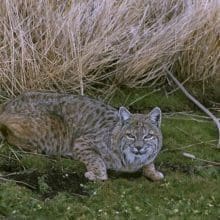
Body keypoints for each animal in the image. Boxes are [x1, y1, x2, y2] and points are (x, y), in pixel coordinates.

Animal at [0, 92, 163, 181]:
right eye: (130, 136)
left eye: (148, 136)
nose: (139, 147)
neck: (132, 160)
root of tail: (9, 102)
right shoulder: (81, 141)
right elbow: (96, 160)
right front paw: (97, 175)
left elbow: (150, 162)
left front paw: (154, 173)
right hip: (51, 128)